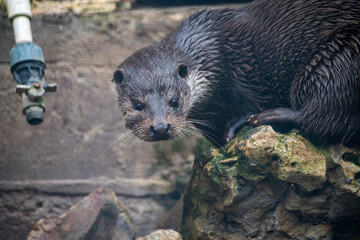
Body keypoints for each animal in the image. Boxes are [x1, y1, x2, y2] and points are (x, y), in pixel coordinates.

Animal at [114, 0, 360, 147]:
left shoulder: (243, 69)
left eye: (174, 101)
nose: (160, 127)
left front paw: (240, 121)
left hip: (340, 55)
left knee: (322, 115)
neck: (214, 52)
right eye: (137, 105)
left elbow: (253, 101)